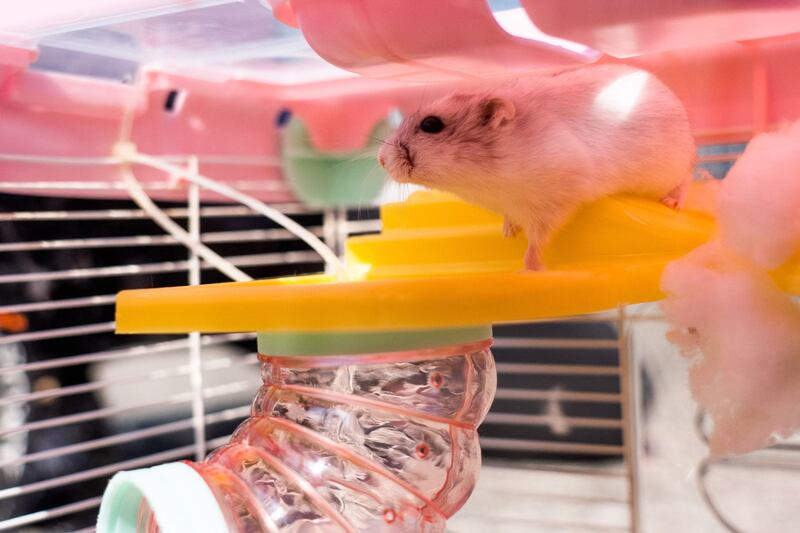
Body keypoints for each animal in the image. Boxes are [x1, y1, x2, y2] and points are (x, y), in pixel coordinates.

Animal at [376, 64, 692, 268]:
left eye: (431, 124)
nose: (379, 158)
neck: (486, 182)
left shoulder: (555, 201)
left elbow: (538, 239)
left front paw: (529, 268)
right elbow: (513, 219)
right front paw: (508, 232)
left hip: (673, 166)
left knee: (686, 180)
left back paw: (673, 202)